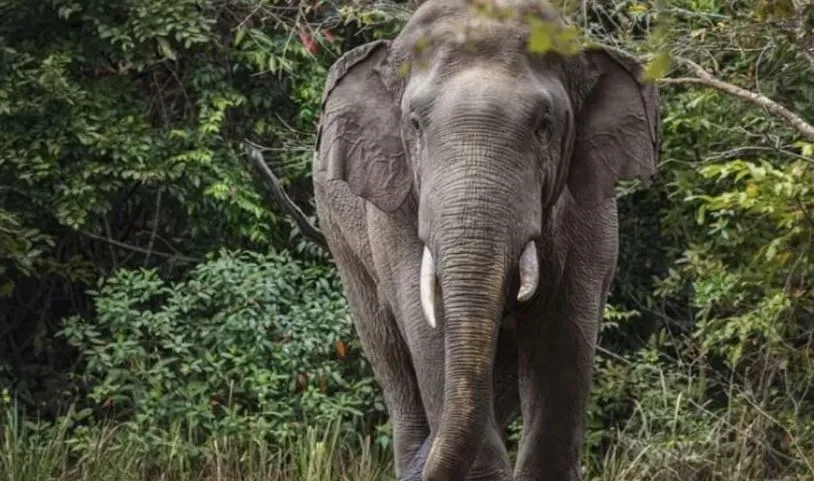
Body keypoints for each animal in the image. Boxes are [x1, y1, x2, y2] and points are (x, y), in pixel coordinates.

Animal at [250, 1, 661, 480]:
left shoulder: (588, 207)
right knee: (393, 364)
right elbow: (430, 332)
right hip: (341, 239)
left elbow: (564, 342)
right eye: (414, 124)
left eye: (543, 125)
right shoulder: (396, 204)